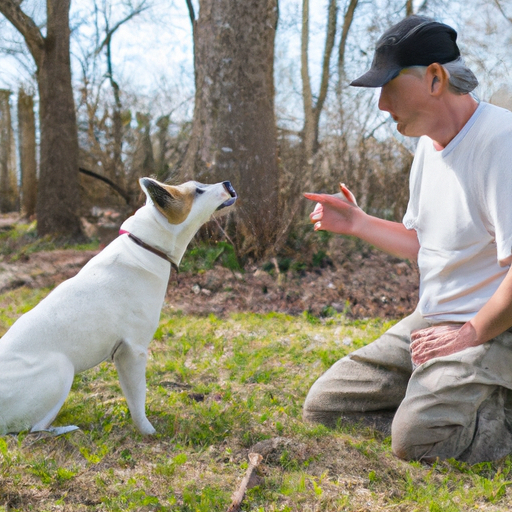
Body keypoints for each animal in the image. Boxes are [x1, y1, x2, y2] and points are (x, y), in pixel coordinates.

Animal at [0, 177, 236, 436]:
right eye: (198, 191)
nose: (227, 183)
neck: (145, 246)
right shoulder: (133, 351)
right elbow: (138, 399)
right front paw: (149, 432)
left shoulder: (123, 353)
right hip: (62, 369)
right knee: (32, 429)